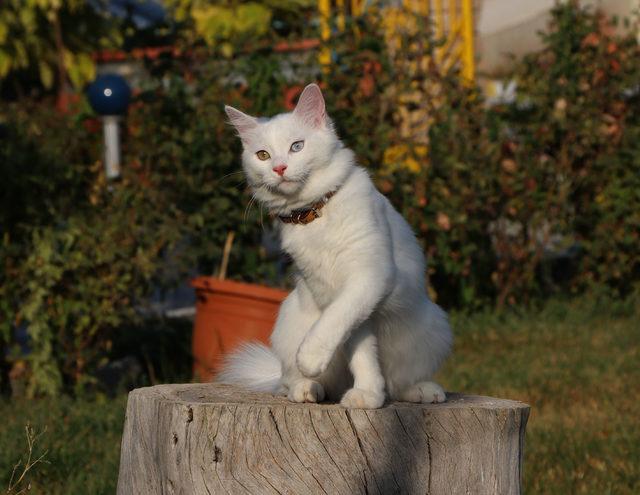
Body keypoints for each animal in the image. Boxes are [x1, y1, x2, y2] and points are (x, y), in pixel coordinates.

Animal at [218, 86, 452, 410]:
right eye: (263, 155)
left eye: (297, 146)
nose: (279, 168)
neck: (317, 213)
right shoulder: (329, 290)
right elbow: (357, 347)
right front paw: (366, 392)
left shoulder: (369, 278)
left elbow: (338, 324)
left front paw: (330, 369)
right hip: (288, 321)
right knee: (288, 382)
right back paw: (307, 388)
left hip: (433, 327)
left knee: (399, 383)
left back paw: (423, 390)